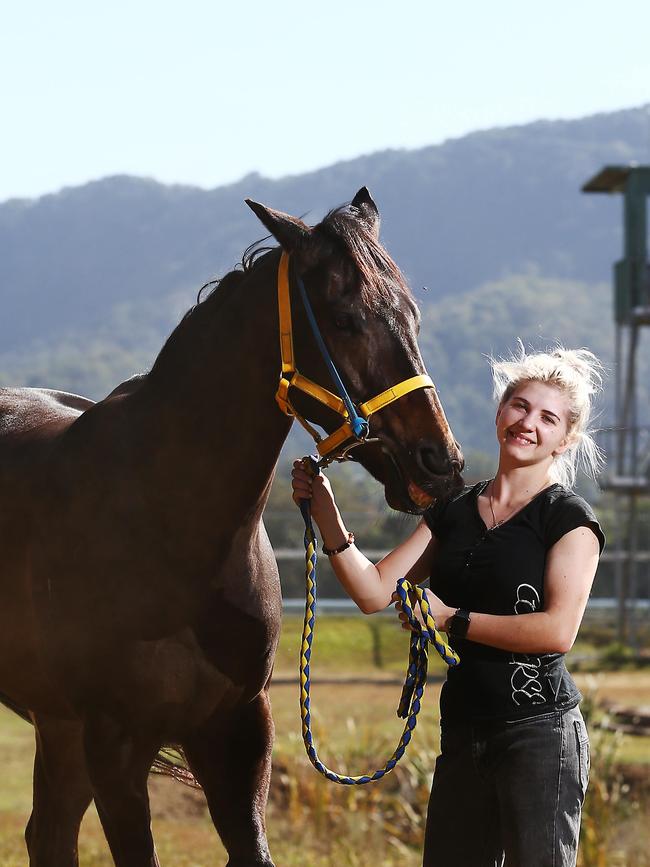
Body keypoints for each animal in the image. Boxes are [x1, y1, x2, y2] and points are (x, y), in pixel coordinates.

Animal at [0, 192, 460, 867]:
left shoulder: (237, 734)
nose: (441, 462)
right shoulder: (114, 743)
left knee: (49, 833)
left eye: (413, 319)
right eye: (345, 319)